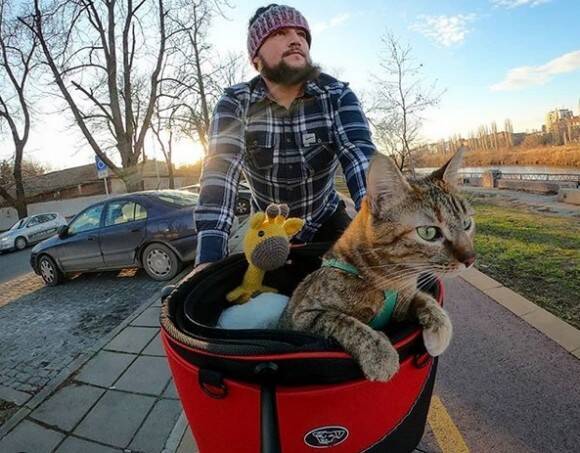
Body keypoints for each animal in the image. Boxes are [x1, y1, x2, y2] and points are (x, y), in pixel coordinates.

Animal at [278, 150, 476, 380]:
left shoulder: (405, 299)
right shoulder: (301, 317)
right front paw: (379, 353)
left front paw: (440, 328)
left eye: (466, 224)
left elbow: (426, 300)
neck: (388, 281)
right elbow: (342, 321)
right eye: (429, 232)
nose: (471, 259)